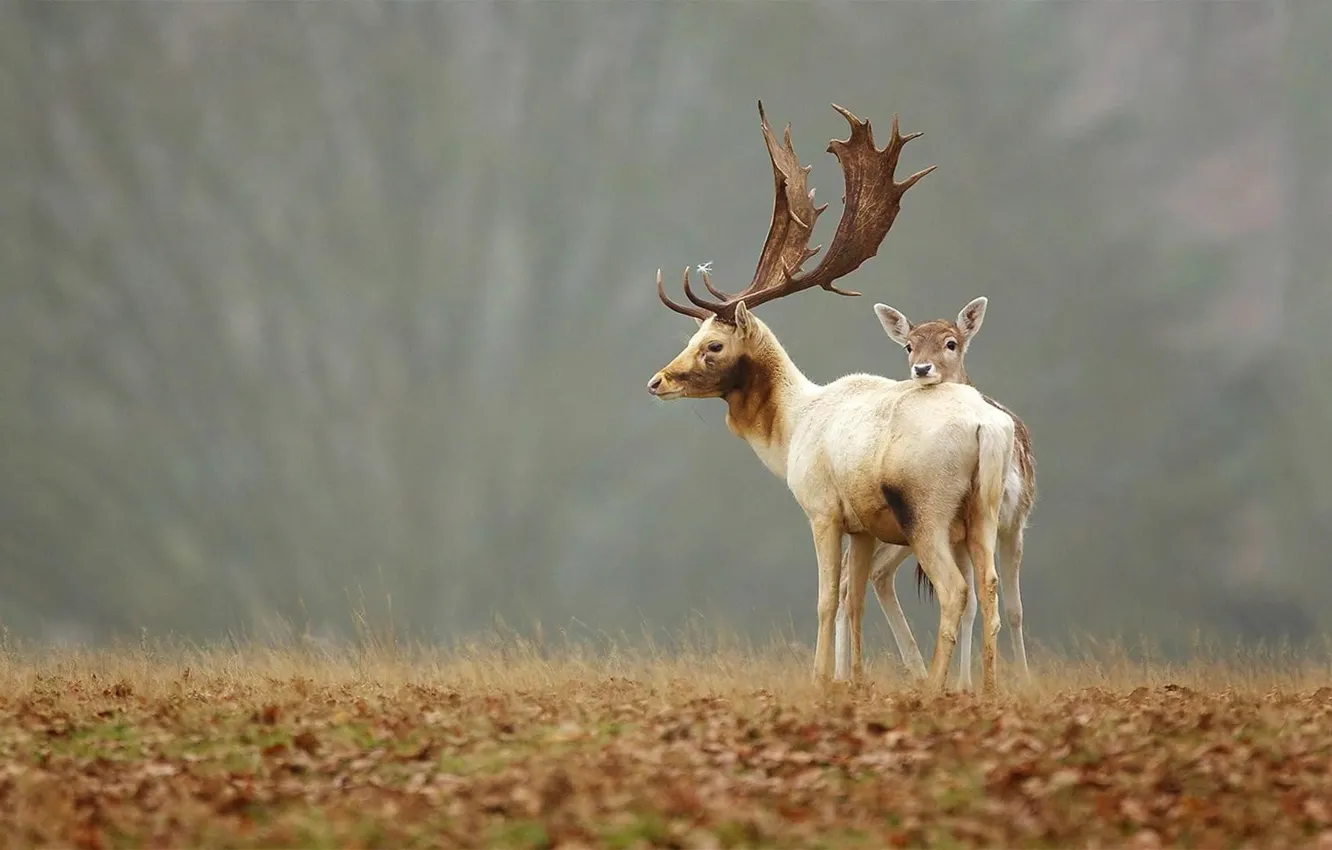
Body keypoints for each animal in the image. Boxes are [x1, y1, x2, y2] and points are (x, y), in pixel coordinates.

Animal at [645, 101, 1016, 694]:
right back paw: (987, 689)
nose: (657, 381)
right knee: (991, 590)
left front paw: (820, 678)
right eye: (692, 335)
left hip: (928, 509)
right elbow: (853, 601)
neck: (792, 428)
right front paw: (854, 679)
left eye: (713, 345)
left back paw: (933, 686)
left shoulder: (821, 508)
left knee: (955, 590)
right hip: (983, 510)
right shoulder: (862, 525)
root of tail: (988, 427)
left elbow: (825, 599)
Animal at [833, 296, 1037, 688]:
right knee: (856, 578)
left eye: (951, 343)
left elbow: (1014, 608)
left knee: (871, 576)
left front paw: (1017, 678)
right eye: (909, 345)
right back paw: (843, 676)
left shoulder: (1015, 520)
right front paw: (966, 684)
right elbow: (976, 603)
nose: (922, 368)